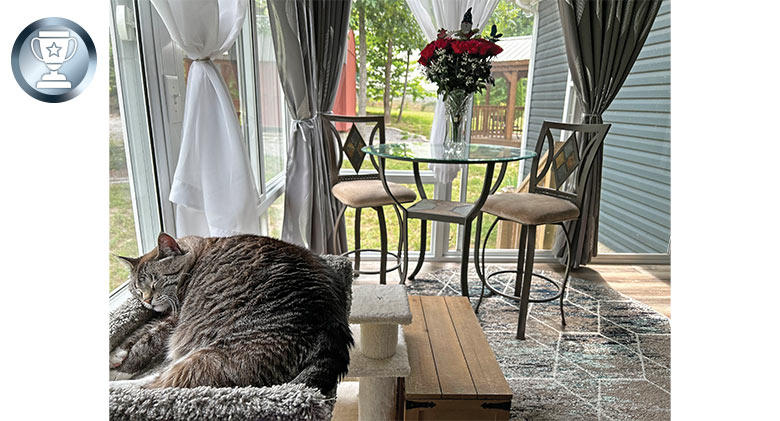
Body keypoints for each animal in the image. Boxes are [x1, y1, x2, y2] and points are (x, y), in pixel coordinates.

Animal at [109, 233, 354, 394]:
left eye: (155, 282)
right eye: (136, 289)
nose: (146, 300)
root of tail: (332, 335)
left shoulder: (173, 320)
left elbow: (146, 342)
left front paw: (122, 366)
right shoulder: (165, 316)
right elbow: (139, 332)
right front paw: (116, 354)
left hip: (209, 356)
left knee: (159, 384)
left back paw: (114, 384)